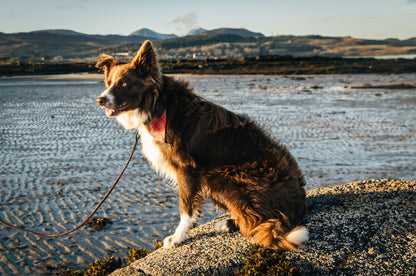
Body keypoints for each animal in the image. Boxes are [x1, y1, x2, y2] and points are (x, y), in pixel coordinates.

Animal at [96, 41, 308, 250]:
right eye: (108, 83)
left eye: (124, 83)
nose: (100, 100)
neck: (157, 106)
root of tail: (297, 204)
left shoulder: (187, 168)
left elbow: (186, 207)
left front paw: (178, 237)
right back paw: (229, 223)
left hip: (221, 178)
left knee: (254, 222)